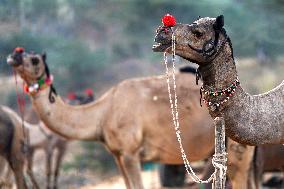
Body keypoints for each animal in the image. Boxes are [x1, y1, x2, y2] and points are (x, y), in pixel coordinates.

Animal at [7, 49, 215, 189]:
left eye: (34, 60)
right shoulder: (117, 154)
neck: (104, 112)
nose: (14, 55)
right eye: (21, 53)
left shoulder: (131, 152)